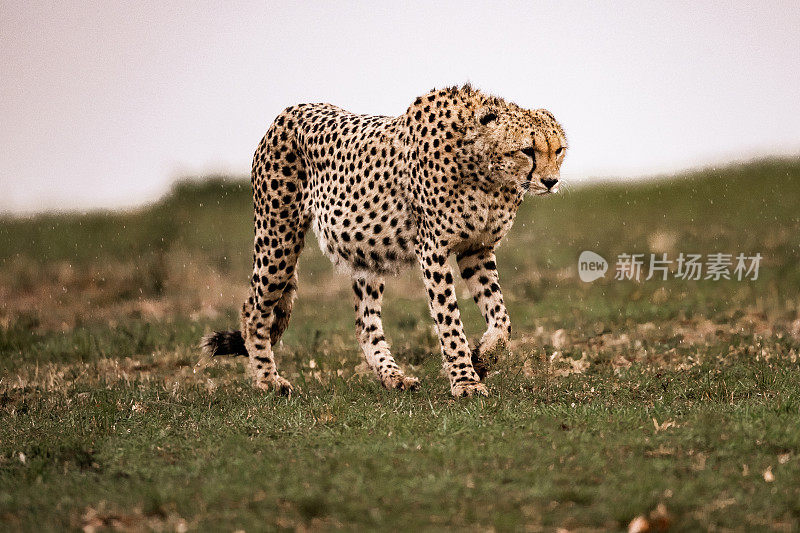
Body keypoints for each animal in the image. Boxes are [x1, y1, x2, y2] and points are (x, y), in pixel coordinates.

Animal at [203, 85, 564, 396]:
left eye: (558, 150)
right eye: (527, 150)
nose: (551, 181)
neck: (487, 171)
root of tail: (291, 109)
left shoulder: (476, 248)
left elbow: (502, 318)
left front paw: (483, 358)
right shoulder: (433, 248)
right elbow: (449, 320)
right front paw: (465, 381)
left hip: (367, 252)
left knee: (365, 323)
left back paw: (393, 376)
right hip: (278, 237)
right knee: (254, 309)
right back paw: (268, 380)